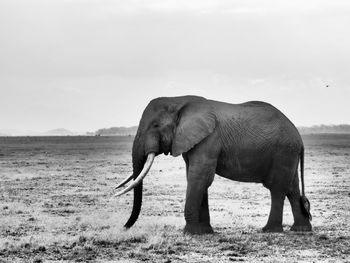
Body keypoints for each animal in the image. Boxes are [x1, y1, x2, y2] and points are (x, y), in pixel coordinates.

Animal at [115, 96, 312, 235]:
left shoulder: (209, 139)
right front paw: (204, 232)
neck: (178, 101)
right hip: (287, 154)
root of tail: (300, 138)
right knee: (292, 188)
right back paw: (301, 230)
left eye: (155, 125)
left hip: (283, 152)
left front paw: (190, 233)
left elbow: (199, 177)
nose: (124, 227)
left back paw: (269, 231)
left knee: (277, 188)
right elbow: (196, 178)